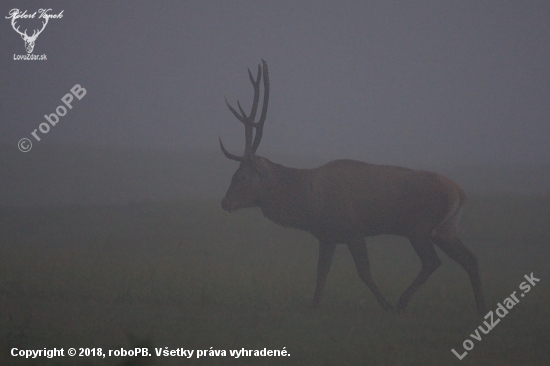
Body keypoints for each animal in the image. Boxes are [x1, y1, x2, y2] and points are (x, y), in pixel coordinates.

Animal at [220, 59, 488, 314]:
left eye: (242, 176)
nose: (224, 202)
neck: (309, 204)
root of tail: (459, 192)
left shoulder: (353, 228)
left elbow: (364, 272)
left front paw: (386, 305)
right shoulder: (327, 236)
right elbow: (322, 271)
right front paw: (314, 306)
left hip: (419, 225)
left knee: (433, 262)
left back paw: (402, 303)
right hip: (446, 228)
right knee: (470, 259)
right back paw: (480, 307)